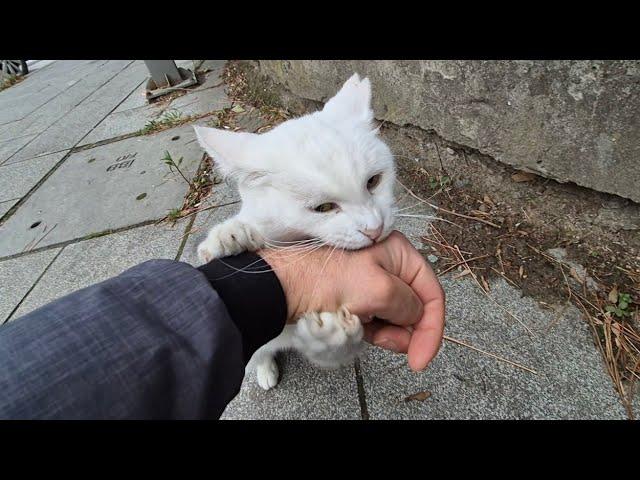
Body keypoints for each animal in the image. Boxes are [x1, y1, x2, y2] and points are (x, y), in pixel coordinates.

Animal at [195, 74, 396, 390]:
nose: (374, 229)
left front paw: (334, 334)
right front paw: (230, 236)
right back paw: (264, 370)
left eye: (374, 181)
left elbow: (334, 350)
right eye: (323, 207)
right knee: (258, 352)